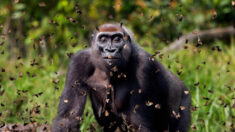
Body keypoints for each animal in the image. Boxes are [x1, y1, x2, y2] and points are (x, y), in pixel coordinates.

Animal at [51, 23, 191, 131]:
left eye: (117, 39)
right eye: (103, 39)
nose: (110, 50)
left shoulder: (144, 65)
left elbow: (138, 123)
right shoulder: (79, 62)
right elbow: (68, 118)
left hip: (185, 97)